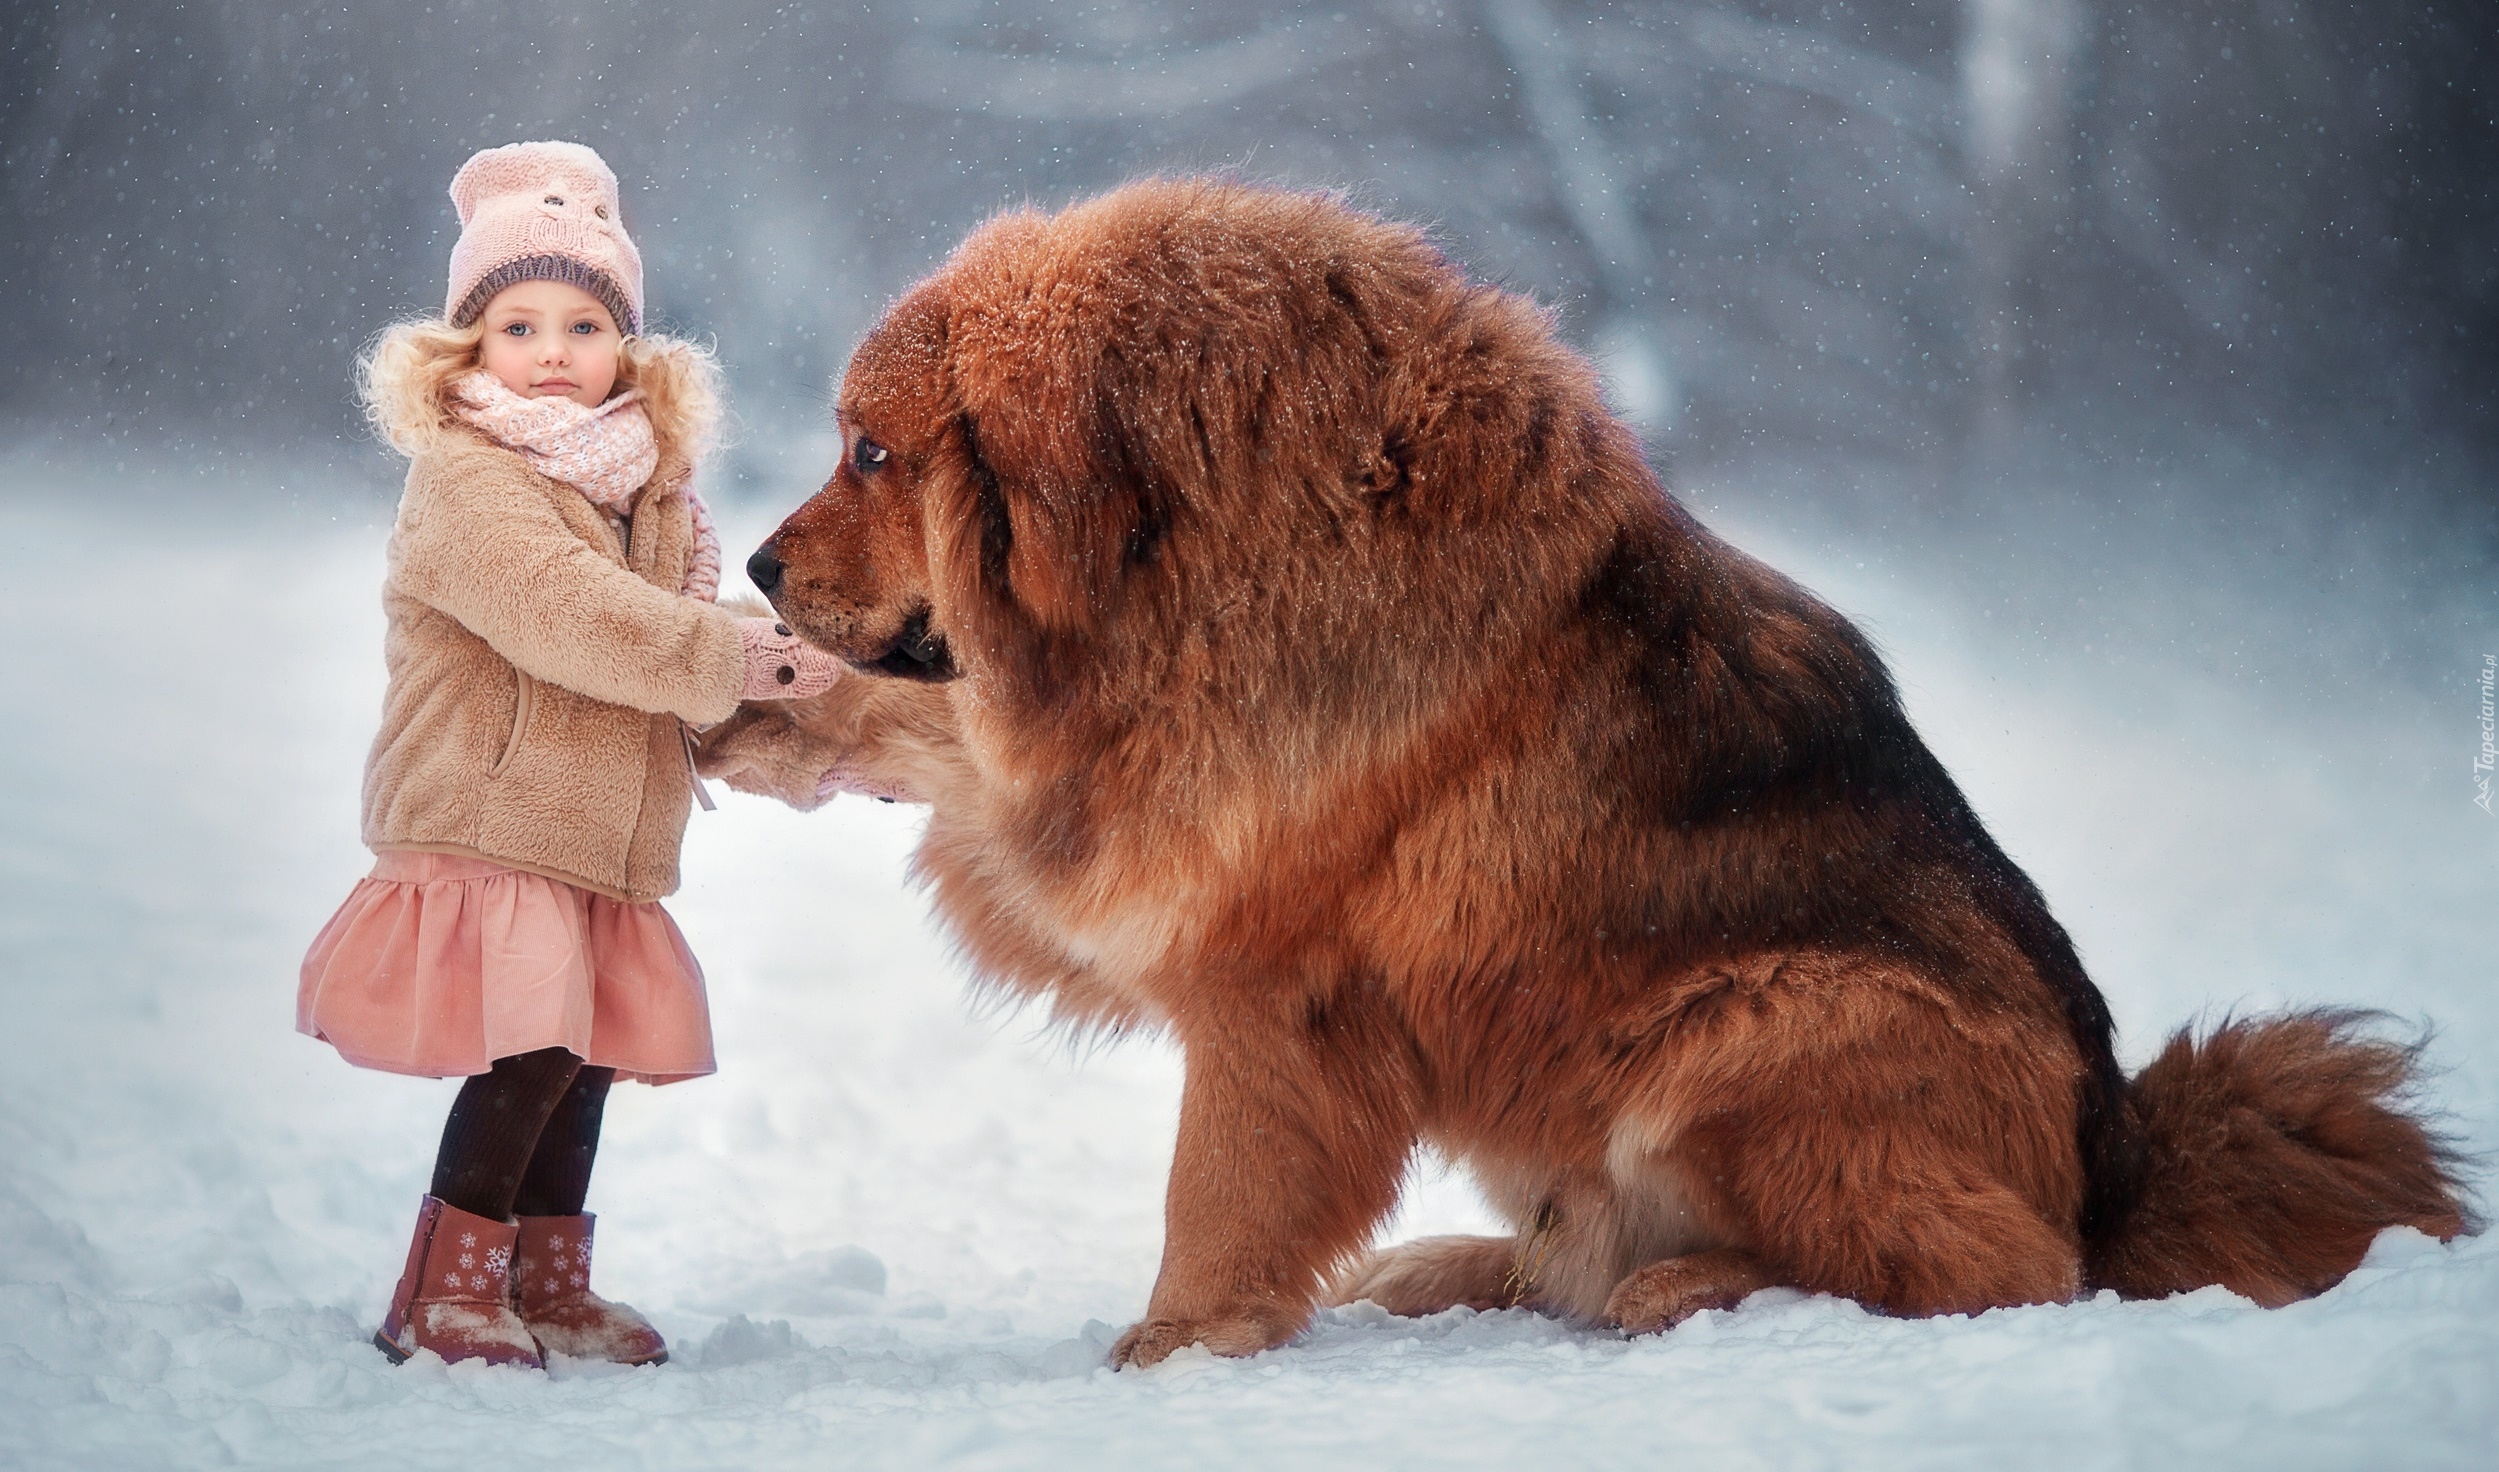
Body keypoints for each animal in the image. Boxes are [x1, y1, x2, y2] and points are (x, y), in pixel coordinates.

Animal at [699, 177, 2459, 1359]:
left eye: (871, 452)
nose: (767, 566)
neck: (1195, 551)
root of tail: (2116, 1164)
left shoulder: (1256, 964)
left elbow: (1217, 1195)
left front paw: (1175, 1346)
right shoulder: (1129, 807)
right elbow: (935, 731)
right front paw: (756, 705)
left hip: (1760, 1020)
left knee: (1992, 1271)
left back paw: (1687, 1288)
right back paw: (1458, 1271)